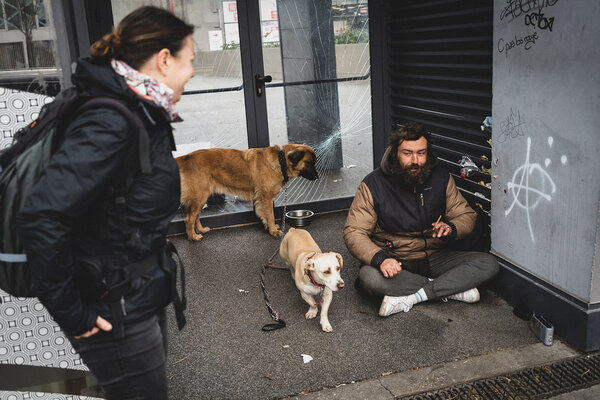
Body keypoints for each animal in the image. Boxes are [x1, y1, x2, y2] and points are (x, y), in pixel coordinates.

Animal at [176, 145, 318, 241]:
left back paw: (200, 230)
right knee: (189, 219)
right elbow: (270, 215)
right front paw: (273, 230)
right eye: (309, 163)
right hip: (199, 197)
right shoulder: (266, 198)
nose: (317, 177)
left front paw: (269, 227)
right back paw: (193, 237)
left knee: (196, 216)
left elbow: (266, 216)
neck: (280, 160)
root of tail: (186, 157)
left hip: (201, 197)